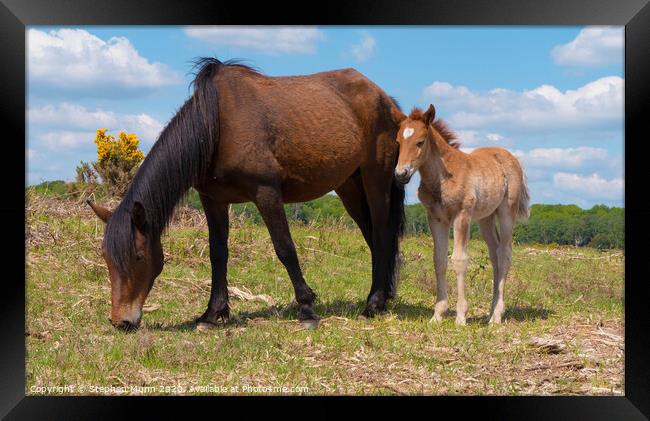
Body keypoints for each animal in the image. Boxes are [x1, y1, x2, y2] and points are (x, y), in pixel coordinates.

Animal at [85, 57, 400, 330]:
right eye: (106, 258)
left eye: (138, 256)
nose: (121, 321)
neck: (217, 126)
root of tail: (384, 98)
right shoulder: (213, 200)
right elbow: (218, 252)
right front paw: (212, 314)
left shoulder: (266, 193)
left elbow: (285, 249)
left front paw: (307, 309)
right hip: (349, 186)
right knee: (371, 235)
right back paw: (382, 298)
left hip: (376, 178)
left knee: (381, 233)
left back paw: (373, 304)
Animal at [390, 105, 528, 324]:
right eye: (398, 142)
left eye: (420, 142)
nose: (400, 174)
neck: (442, 177)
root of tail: (512, 158)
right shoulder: (436, 218)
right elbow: (439, 260)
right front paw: (438, 314)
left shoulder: (461, 216)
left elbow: (459, 260)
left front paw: (461, 316)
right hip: (486, 218)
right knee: (495, 253)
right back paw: (490, 312)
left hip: (507, 211)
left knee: (504, 254)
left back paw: (497, 315)